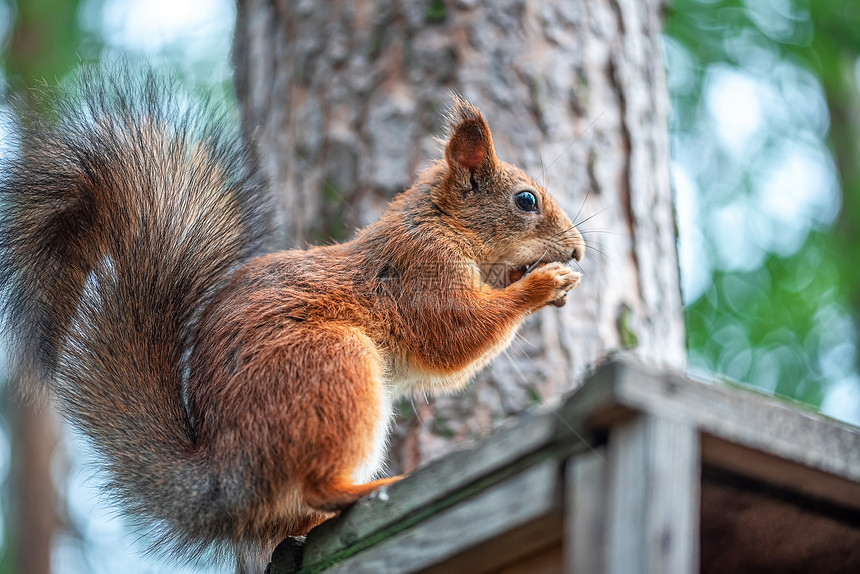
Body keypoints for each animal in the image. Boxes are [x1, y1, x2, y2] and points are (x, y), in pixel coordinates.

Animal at [0, 71, 584, 572]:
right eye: (526, 200)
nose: (578, 249)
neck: (441, 224)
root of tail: (230, 476)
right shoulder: (421, 275)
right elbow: (456, 336)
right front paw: (543, 284)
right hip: (330, 365)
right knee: (319, 484)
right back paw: (369, 489)